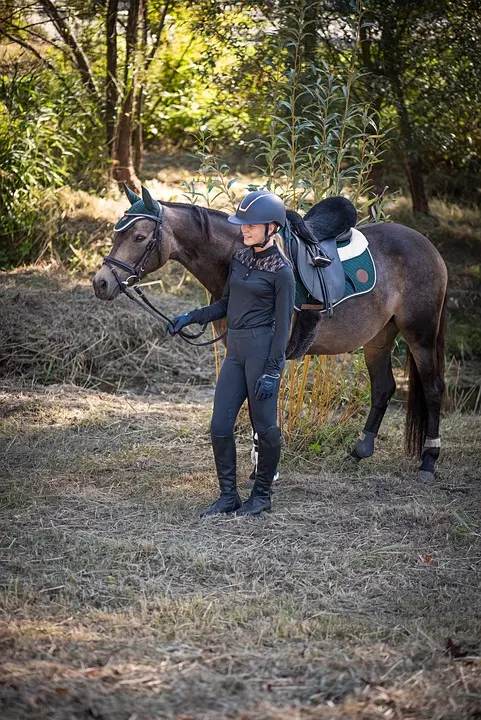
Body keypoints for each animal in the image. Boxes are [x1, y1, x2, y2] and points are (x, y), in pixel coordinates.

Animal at [93, 186, 446, 480]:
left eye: (140, 237)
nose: (101, 283)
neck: (241, 261)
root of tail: (427, 245)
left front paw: (265, 469)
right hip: (378, 339)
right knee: (384, 388)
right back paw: (359, 452)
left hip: (420, 335)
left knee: (433, 390)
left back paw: (429, 461)